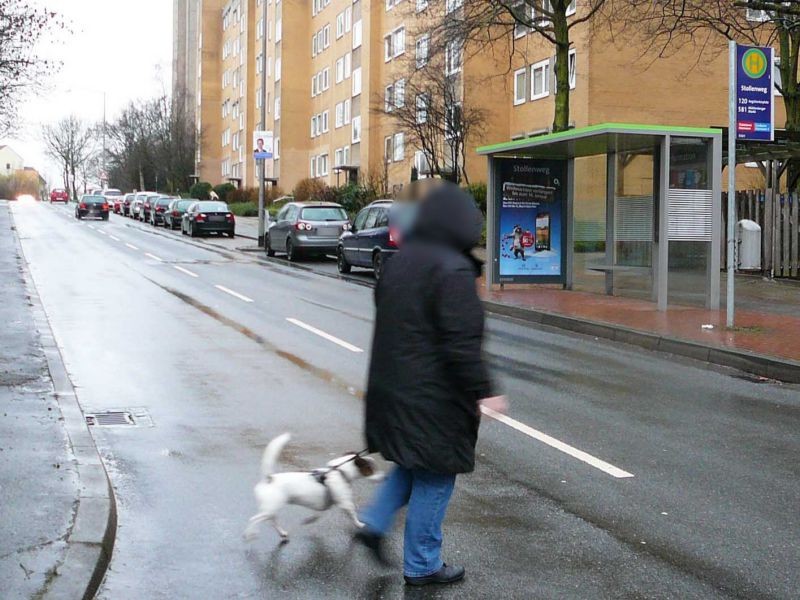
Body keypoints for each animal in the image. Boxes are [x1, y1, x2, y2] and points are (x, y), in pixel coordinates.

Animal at [242, 434, 382, 540]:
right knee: (254, 519)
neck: (339, 471)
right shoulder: (345, 503)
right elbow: (353, 514)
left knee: (272, 521)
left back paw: (282, 533)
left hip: (272, 508)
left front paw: (309, 520)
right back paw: (250, 533)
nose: (383, 477)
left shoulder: (324, 504)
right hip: (270, 508)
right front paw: (360, 524)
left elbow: (317, 515)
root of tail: (269, 478)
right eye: (371, 469)